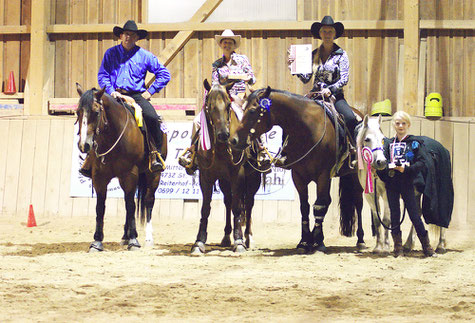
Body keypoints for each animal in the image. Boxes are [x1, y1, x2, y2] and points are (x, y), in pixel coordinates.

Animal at [76, 83, 167, 253]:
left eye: (96, 112)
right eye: (78, 112)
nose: (84, 145)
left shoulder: (130, 174)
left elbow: (131, 205)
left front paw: (134, 241)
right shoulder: (99, 177)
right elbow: (100, 207)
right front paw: (97, 242)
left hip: (153, 175)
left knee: (148, 201)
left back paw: (147, 238)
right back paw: (125, 236)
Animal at [192, 80, 262, 256]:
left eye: (228, 105)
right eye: (209, 106)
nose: (223, 134)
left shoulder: (238, 174)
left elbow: (238, 208)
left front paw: (239, 242)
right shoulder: (205, 176)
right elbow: (205, 208)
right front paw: (199, 242)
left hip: (253, 178)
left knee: (248, 203)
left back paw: (248, 238)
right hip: (224, 181)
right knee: (228, 201)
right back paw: (226, 237)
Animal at [231, 88, 364, 253]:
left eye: (252, 110)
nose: (234, 140)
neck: (307, 130)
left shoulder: (323, 175)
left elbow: (319, 206)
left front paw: (318, 242)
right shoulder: (298, 176)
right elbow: (304, 207)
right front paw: (305, 241)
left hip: (356, 175)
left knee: (358, 202)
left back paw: (360, 240)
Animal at [358, 116, 452, 256]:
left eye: (382, 138)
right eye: (367, 139)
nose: (381, 162)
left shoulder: (386, 194)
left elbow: (387, 219)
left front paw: (386, 247)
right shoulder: (370, 196)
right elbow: (377, 220)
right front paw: (378, 247)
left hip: (441, 191)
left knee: (441, 214)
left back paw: (440, 246)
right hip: (416, 193)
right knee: (417, 213)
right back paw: (408, 245)